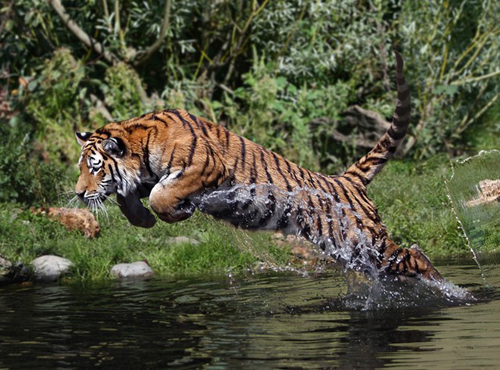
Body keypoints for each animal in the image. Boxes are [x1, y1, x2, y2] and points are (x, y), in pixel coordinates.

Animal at [73, 52, 442, 282]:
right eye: (82, 167)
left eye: (94, 168)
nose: (77, 193)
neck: (140, 145)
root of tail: (346, 180)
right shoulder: (143, 178)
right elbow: (128, 197)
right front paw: (144, 220)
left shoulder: (205, 167)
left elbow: (161, 195)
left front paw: (173, 212)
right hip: (352, 250)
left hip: (363, 240)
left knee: (413, 255)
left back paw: (449, 291)